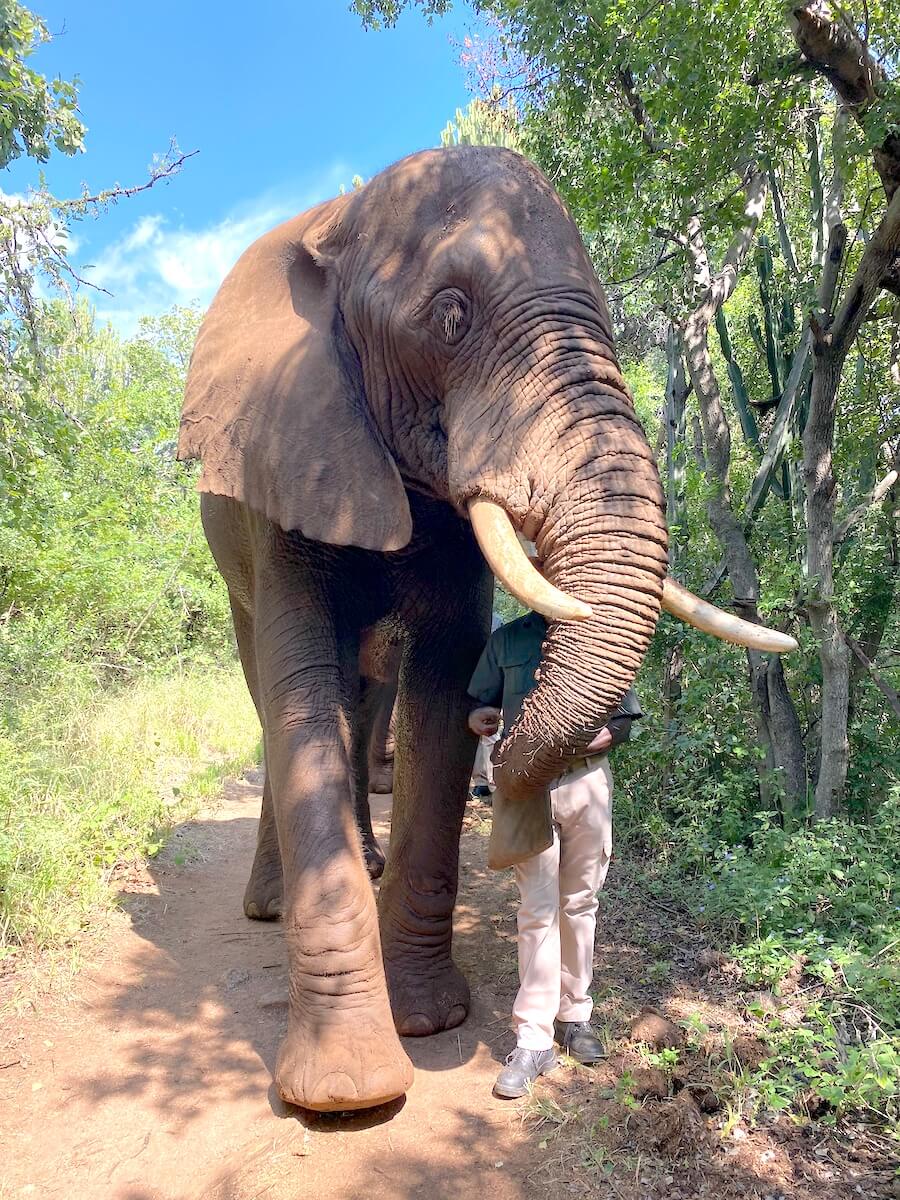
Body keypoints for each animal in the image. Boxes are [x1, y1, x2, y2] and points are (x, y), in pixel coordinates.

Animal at [178, 145, 795, 1113]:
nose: (508, 784)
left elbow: (438, 692)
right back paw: (270, 909)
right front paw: (348, 1093)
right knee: (278, 698)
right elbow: (302, 699)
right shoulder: (288, 449)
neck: (342, 221)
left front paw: (428, 1022)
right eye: (450, 317)